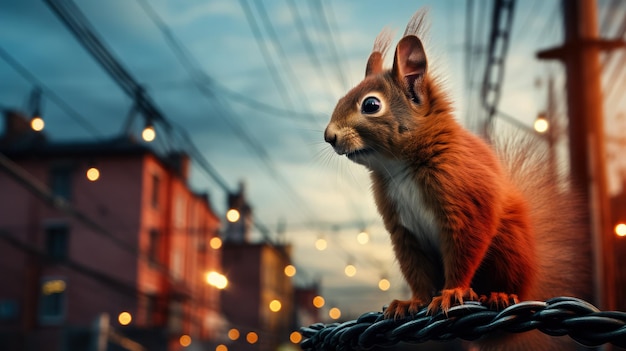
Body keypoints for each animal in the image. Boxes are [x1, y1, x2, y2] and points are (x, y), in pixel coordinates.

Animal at [324, 9, 588, 350]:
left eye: (370, 105)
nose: (329, 136)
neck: (400, 168)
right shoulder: (403, 230)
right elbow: (416, 270)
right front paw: (413, 302)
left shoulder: (464, 200)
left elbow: (464, 248)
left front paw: (453, 292)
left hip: (509, 248)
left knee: (509, 281)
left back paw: (499, 294)